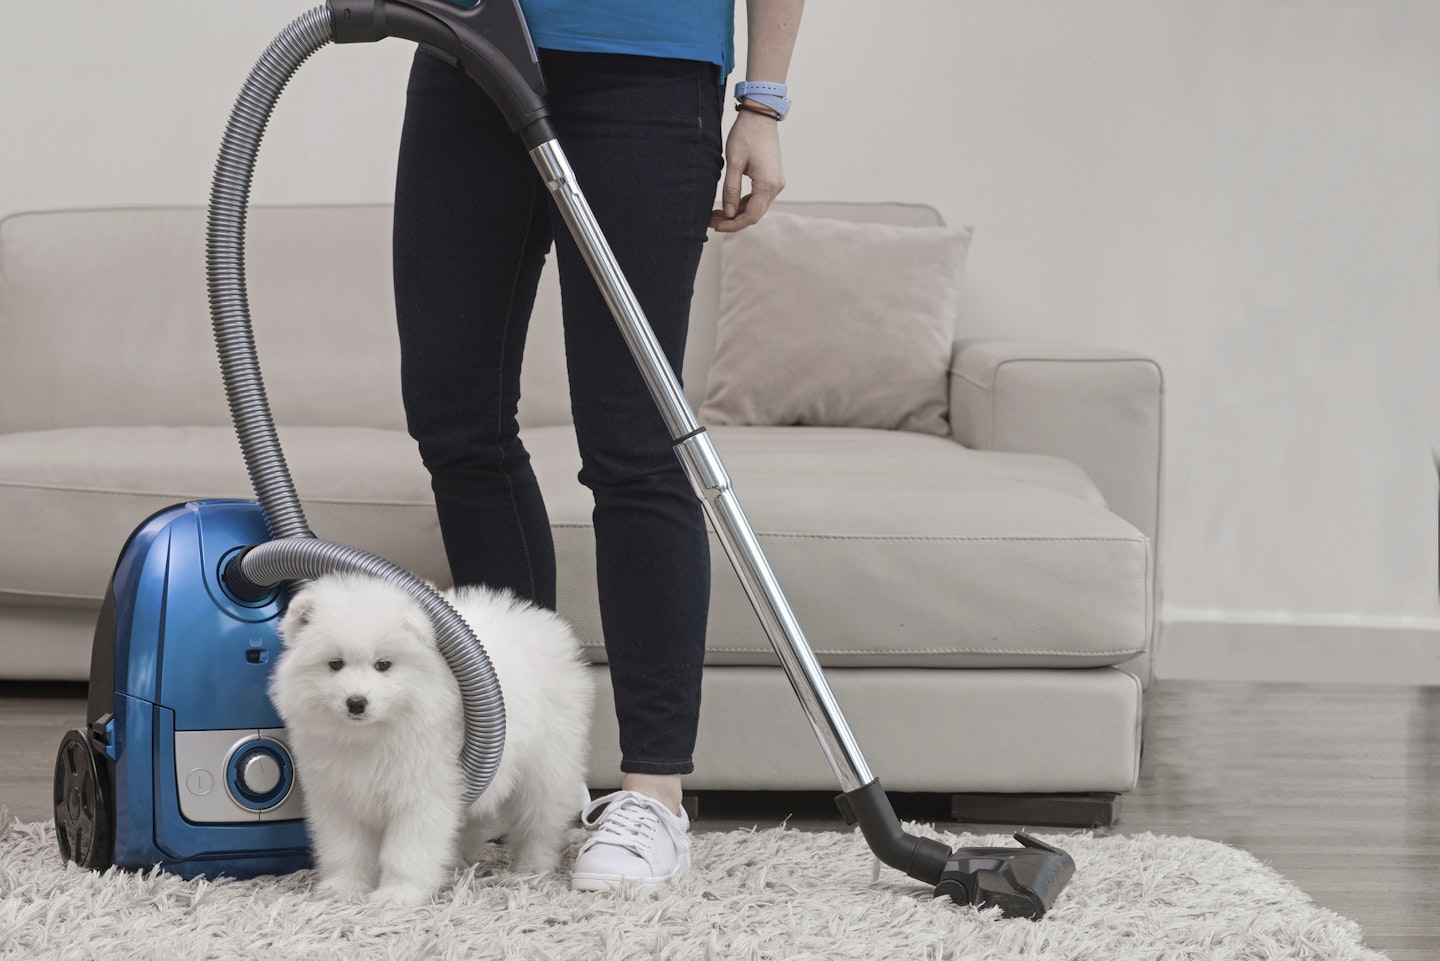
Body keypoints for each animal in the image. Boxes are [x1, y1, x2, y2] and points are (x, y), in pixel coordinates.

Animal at [270, 576, 590, 904]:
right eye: (335, 664)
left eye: (383, 664)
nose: (356, 702)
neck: (371, 735)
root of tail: (537, 621)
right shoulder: (337, 796)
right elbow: (346, 847)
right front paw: (344, 888)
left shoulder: (421, 794)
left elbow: (407, 850)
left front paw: (398, 893)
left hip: (547, 764)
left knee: (540, 820)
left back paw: (533, 867)